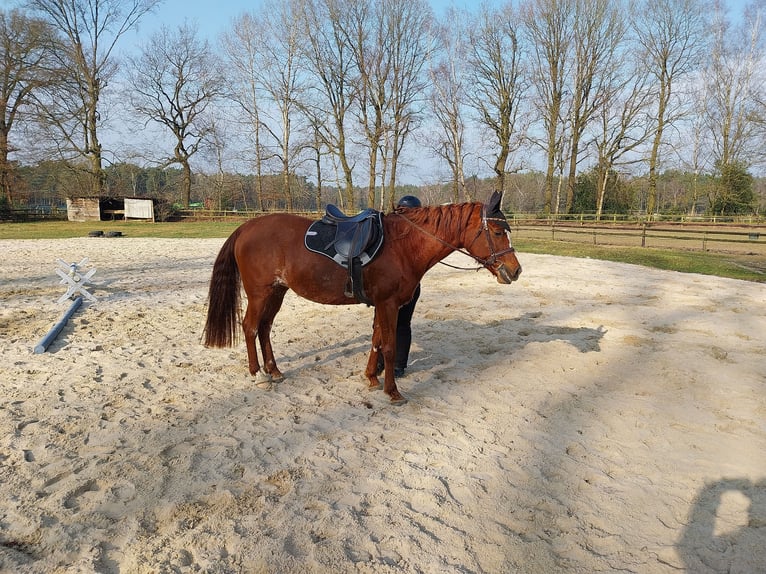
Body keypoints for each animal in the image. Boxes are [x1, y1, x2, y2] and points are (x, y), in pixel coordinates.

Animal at [204, 191, 520, 402]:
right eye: (496, 231)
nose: (515, 270)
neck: (403, 245)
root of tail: (246, 227)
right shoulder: (389, 304)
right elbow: (389, 346)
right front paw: (392, 392)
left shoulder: (382, 304)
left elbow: (377, 341)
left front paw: (371, 378)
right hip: (260, 294)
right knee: (250, 327)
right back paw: (258, 375)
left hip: (277, 292)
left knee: (265, 328)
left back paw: (274, 370)